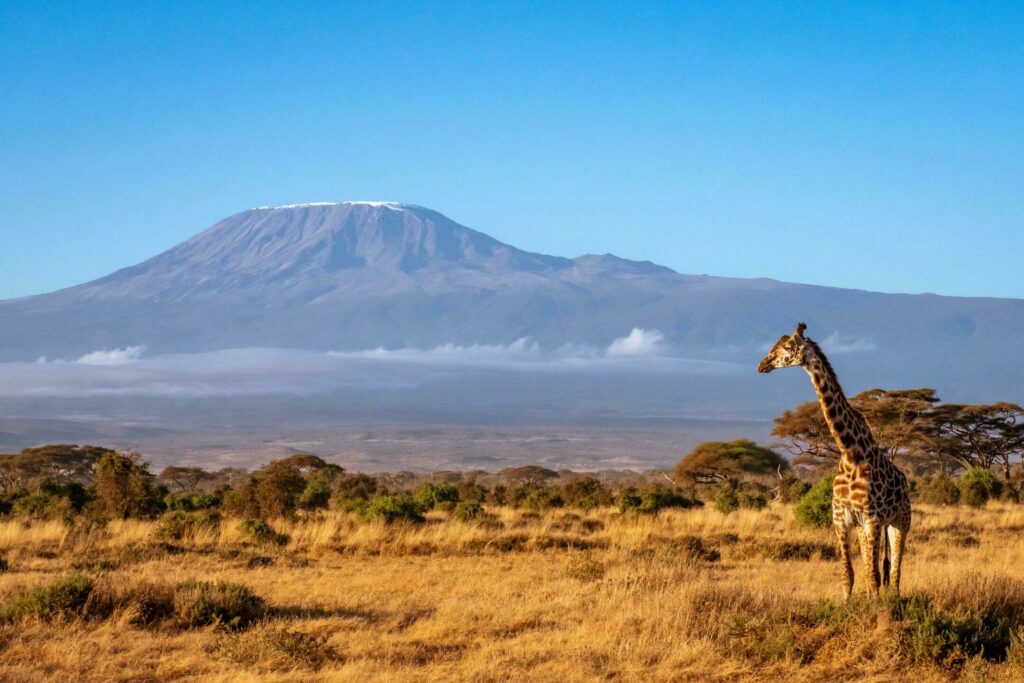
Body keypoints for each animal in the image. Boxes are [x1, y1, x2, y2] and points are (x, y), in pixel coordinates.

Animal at [757, 325, 909, 598]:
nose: (762, 365)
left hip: (900, 521)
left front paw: (878, 608)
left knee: (894, 572)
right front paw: (850, 603)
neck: (851, 453)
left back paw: (893, 598)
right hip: (866, 527)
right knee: (876, 569)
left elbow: (873, 575)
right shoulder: (842, 519)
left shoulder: (872, 518)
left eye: (787, 347)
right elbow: (849, 575)